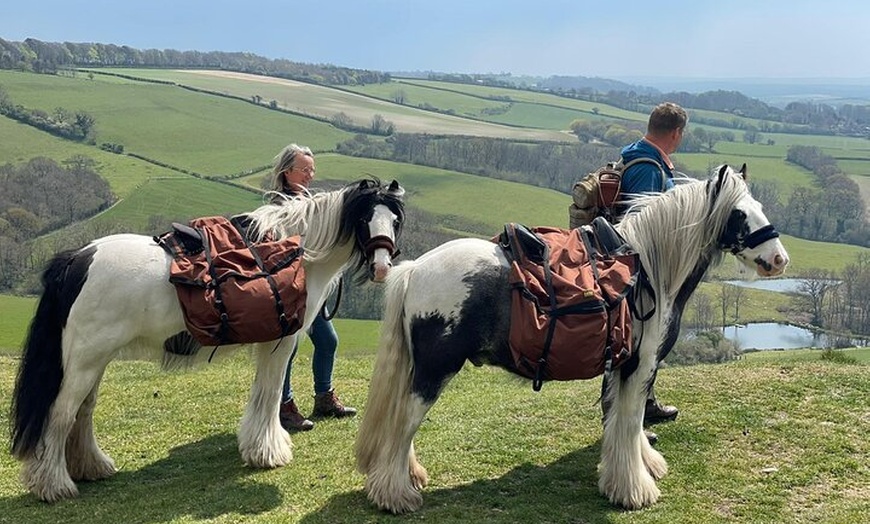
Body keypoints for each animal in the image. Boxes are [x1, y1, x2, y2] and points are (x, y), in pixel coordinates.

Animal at [10, 177, 405, 503]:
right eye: (365, 219)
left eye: (395, 221)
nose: (382, 268)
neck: (291, 251)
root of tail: (77, 258)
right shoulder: (280, 344)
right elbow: (269, 394)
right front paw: (269, 452)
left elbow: (263, 394)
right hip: (85, 362)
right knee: (61, 414)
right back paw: (53, 485)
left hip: (92, 362)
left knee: (83, 412)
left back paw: (91, 467)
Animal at [355, 164, 789, 514]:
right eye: (739, 214)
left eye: (758, 207)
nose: (779, 259)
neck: (649, 271)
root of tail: (415, 269)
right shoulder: (641, 366)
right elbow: (631, 419)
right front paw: (634, 490)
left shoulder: (621, 367)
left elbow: (619, 419)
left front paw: (635, 469)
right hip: (434, 372)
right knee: (402, 425)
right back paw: (395, 495)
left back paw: (409, 477)